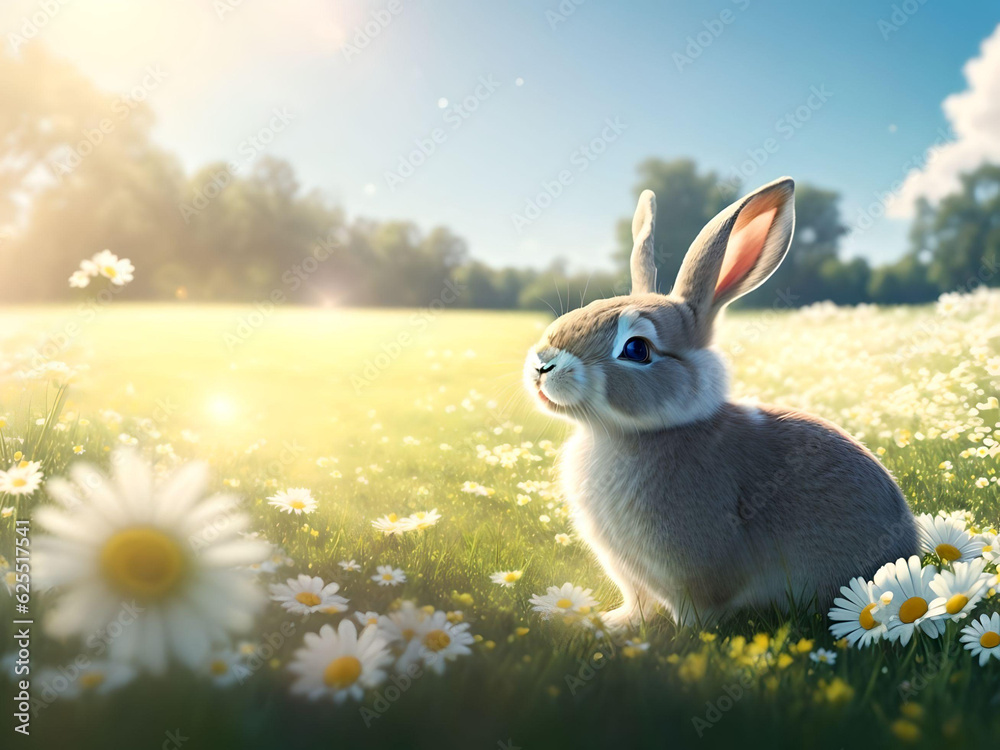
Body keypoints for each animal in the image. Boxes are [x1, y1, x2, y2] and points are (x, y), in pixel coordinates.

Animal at [523, 177, 918, 628]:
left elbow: (696, 615)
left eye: (636, 349)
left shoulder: (692, 575)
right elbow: (637, 603)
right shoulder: (628, 572)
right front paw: (613, 623)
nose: (542, 365)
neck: (626, 434)